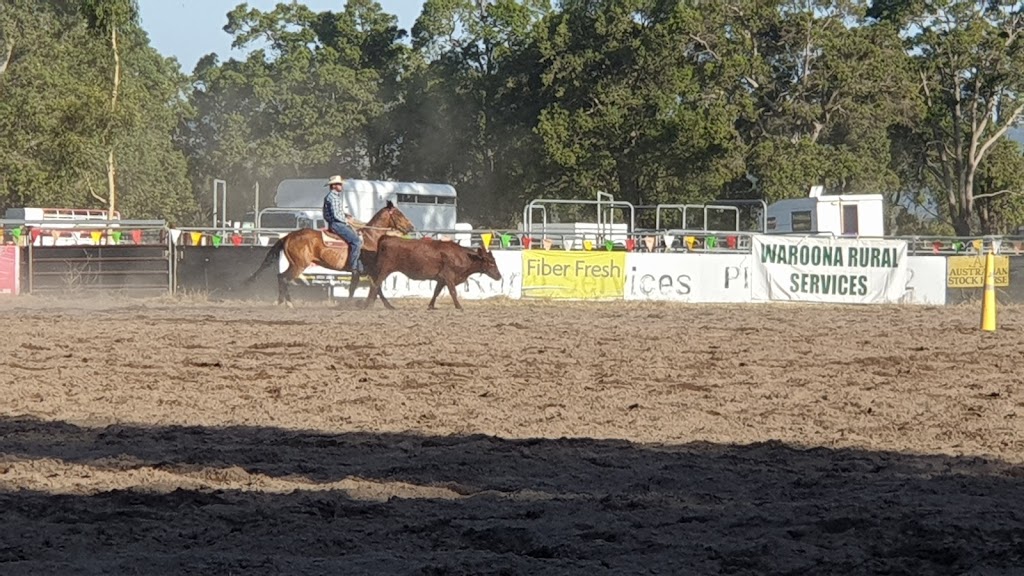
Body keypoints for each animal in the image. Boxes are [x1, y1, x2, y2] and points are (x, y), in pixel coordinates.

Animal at [241, 199, 413, 305]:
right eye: (399, 214)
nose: (411, 227)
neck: (370, 238)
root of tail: (288, 236)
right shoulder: (367, 270)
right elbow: (372, 288)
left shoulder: (362, 271)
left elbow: (364, 287)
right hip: (298, 266)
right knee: (283, 278)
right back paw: (287, 303)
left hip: (294, 264)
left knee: (281, 278)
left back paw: (283, 302)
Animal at [366, 235, 501, 309]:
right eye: (491, 263)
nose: (499, 276)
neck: (462, 256)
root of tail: (387, 237)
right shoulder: (448, 276)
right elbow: (453, 292)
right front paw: (459, 306)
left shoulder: (441, 279)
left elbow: (436, 292)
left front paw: (431, 306)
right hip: (385, 269)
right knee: (376, 285)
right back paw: (370, 304)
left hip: (380, 270)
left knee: (376, 286)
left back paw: (383, 305)